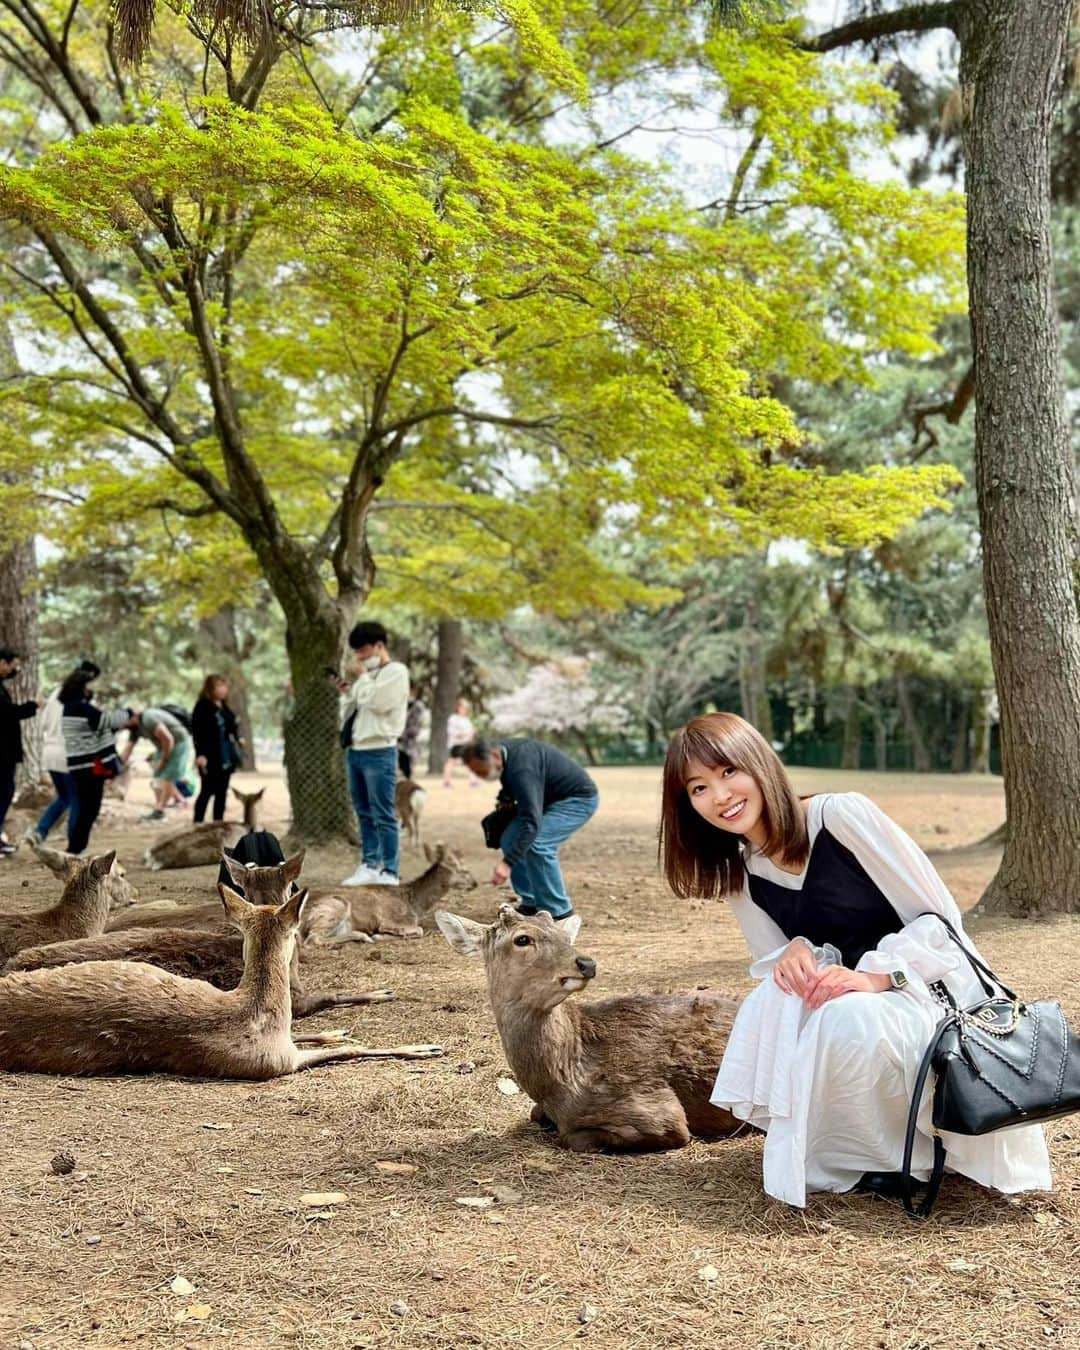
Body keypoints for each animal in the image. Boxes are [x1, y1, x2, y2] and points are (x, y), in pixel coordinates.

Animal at [301, 837, 475, 945]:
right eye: (459, 868)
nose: (475, 883)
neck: (414, 904)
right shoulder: (390, 919)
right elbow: (419, 929)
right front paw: (381, 935)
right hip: (335, 906)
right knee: (312, 939)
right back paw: (365, 936)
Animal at [432, 901, 745, 1155]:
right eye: (522, 938)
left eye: (565, 936)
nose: (586, 963)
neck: (561, 1084)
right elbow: (535, 1114)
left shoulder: (659, 1109)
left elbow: (572, 1138)